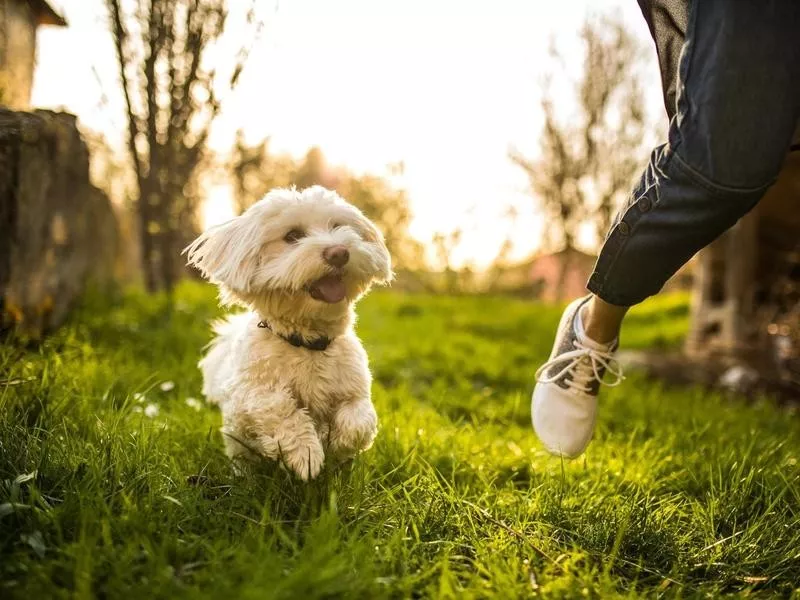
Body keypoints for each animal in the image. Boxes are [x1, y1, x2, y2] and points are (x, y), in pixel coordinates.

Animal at [184, 185, 390, 480]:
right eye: (292, 236)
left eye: (337, 227)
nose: (339, 252)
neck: (307, 342)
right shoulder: (248, 396)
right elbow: (280, 408)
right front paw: (306, 454)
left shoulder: (355, 389)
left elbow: (359, 419)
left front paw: (335, 441)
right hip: (238, 442)